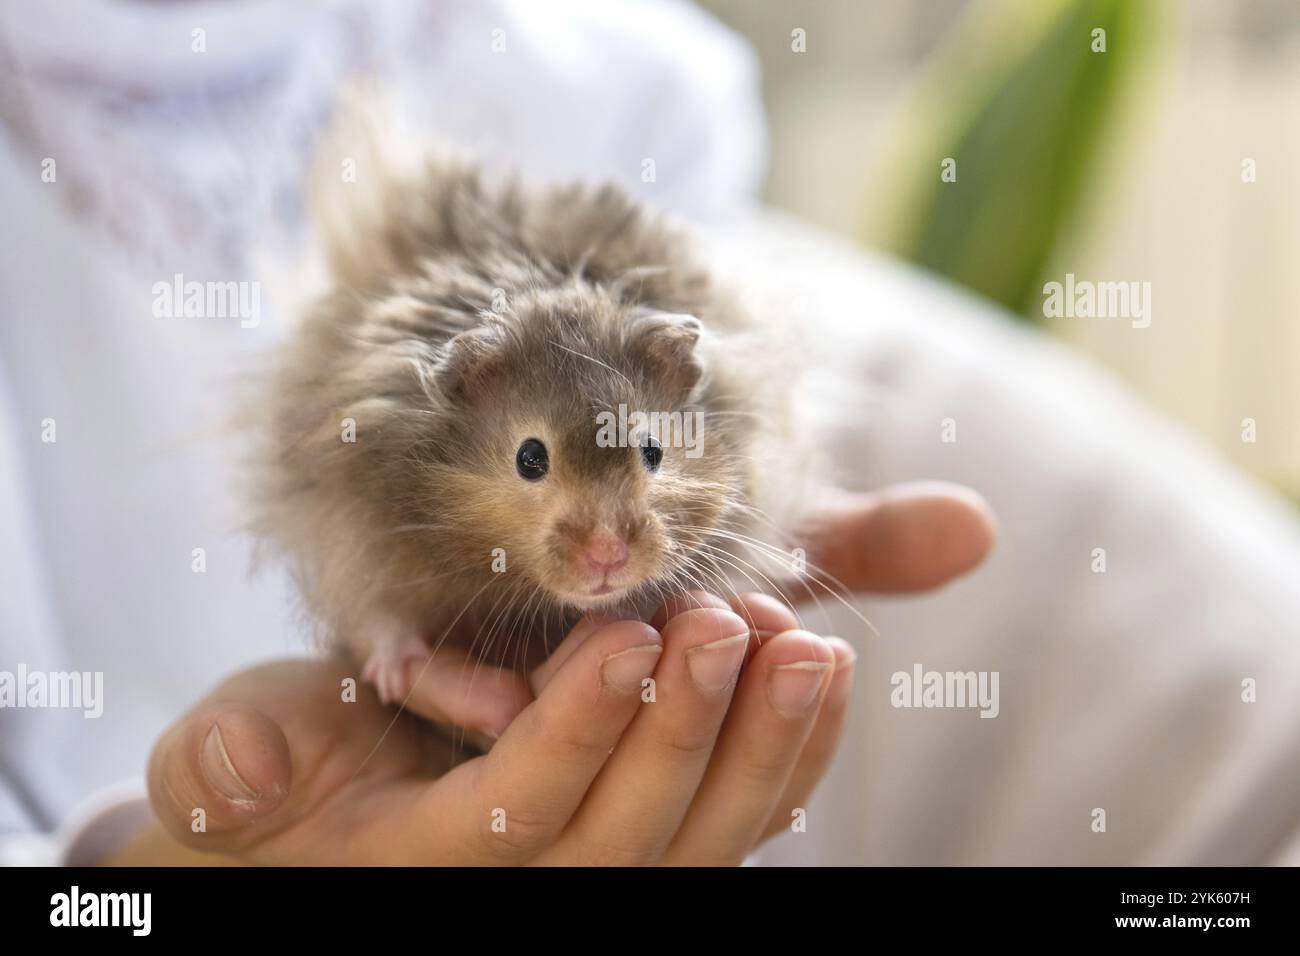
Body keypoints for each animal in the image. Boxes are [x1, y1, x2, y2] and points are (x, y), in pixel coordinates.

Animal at [245, 145, 821, 707]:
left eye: (654, 450)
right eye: (529, 459)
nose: (608, 556)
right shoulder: (349, 523)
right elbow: (383, 617)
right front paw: (392, 673)